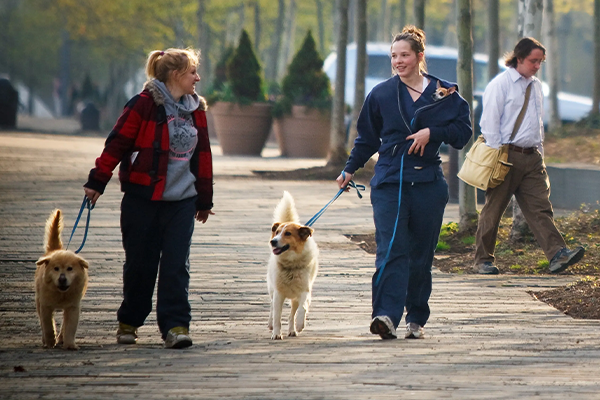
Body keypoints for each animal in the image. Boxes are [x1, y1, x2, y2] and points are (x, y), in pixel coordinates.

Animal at [35, 209, 89, 350]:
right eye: (56, 269)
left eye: (70, 269)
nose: (62, 279)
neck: (61, 294)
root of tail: (55, 250)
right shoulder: (45, 306)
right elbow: (48, 326)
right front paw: (49, 342)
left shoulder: (73, 307)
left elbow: (70, 327)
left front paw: (70, 344)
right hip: (38, 300)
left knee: (64, 324)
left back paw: (61, 339)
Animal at [268, 191, 318, 340]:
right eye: (277, 232)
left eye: (288, 233)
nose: (273, 241)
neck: (292, 263)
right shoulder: (278, 293)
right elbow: (277, 316)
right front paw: (276, 333)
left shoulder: (304, 291)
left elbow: (303, 308)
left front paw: (300, 324)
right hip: (272, 290)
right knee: (272, 308)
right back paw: (271, 324)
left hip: (294, 298)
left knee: (291, 315)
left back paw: (292, 330)